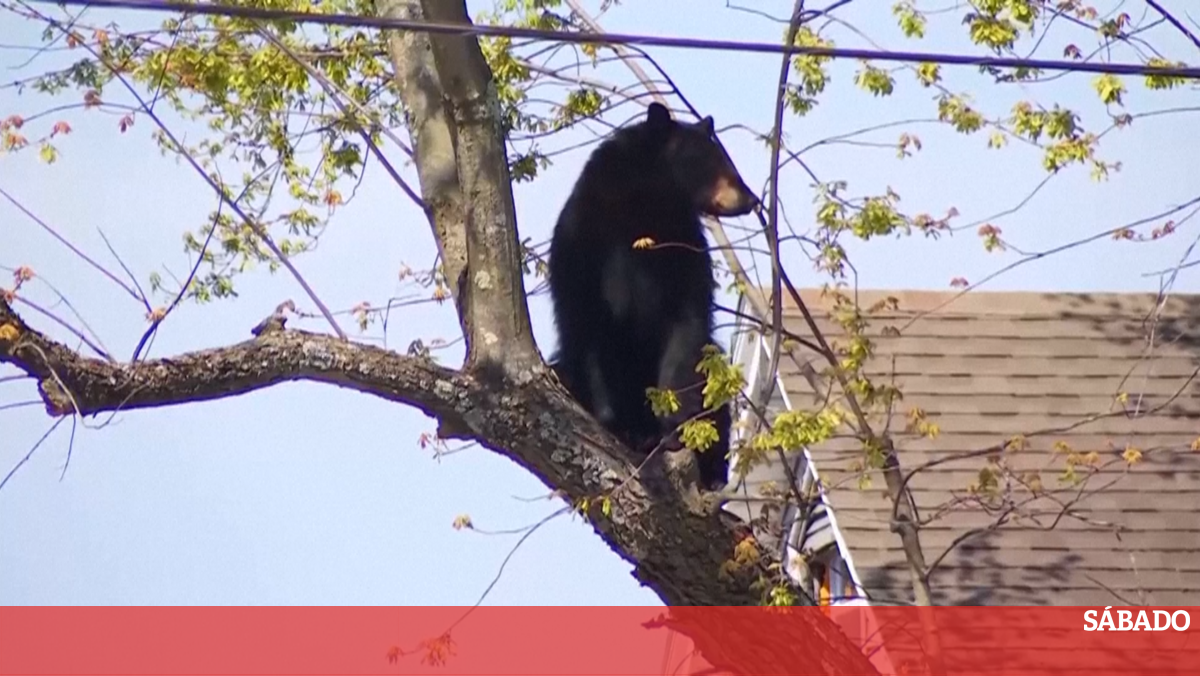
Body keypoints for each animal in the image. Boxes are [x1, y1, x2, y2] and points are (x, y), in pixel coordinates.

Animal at [545, 101, 759, 491]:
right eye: (712, 159)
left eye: (727, 158)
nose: (751, 199)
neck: (646, 207)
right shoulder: (582, 241)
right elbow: (586, 326)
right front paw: (618, 423)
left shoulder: (683, 248)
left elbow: (686, 328)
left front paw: (674, 426)